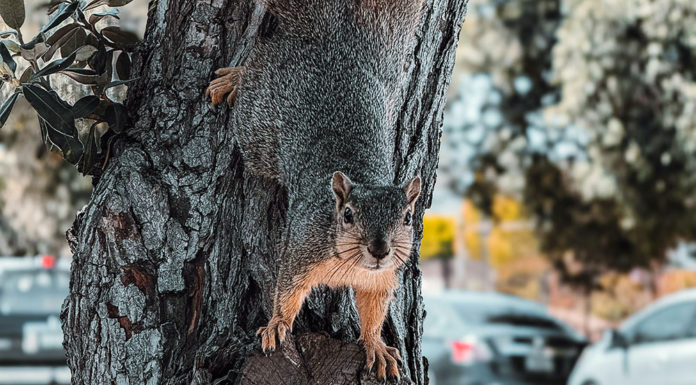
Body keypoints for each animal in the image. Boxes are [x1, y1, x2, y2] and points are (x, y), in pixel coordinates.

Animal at [207, 0, 424, 378]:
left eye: (408, 218)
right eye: (348, 215)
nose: (380, 250)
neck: (354, 264)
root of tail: (332, 44)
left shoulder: (381, 280)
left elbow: (373, 312)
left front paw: (376, 345)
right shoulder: (302, 247)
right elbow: (287, 289)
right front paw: (277, 324)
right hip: (257, 132)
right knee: (255, 69)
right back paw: (234, 77)